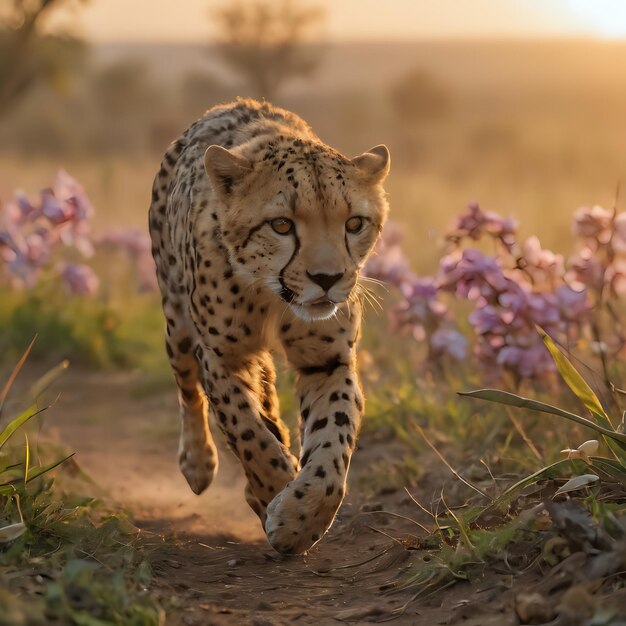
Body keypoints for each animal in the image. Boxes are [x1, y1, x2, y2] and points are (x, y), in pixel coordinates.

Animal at [149, 97, 388, 552]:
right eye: (282, 225)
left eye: (353, 224)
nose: (328, 278)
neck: (272, 297)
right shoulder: (222, 357)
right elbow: (246, 431)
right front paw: (275, 487)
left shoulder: (328, 362)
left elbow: (333, 439)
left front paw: (300, 516)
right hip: (177, 322)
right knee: (188, 389)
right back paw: (198, 462)